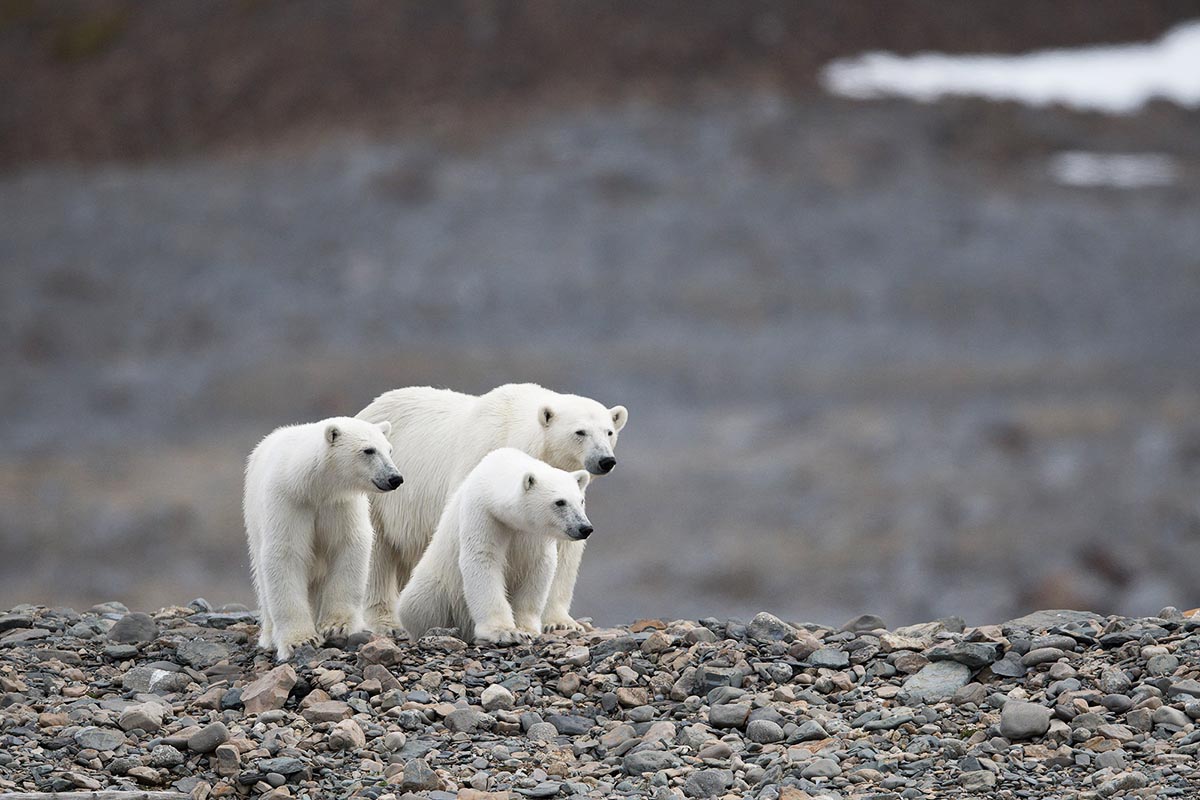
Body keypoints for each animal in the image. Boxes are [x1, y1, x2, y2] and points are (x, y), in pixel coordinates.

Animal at [360, 383, 628, 633]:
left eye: (609, 432)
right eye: (580, 432)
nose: (606, 460)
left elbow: (562, 554)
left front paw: (561, 623)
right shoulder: (479, 466)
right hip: (380, 493)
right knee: (378, 553)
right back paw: (386, 620)